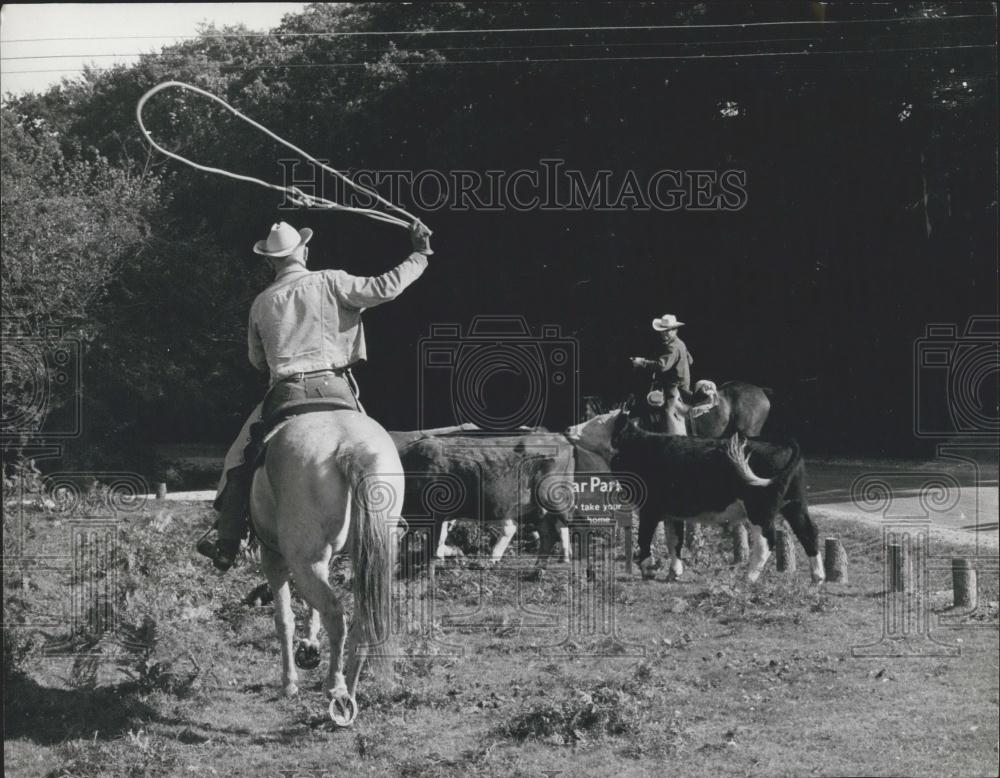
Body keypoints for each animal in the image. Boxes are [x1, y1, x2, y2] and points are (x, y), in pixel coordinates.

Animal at [249, 410, 402, 724]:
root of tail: (351, 446)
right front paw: (309, 645)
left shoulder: (274, 558)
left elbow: (284, 620)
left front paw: (289, 683)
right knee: (360, 619)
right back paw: (349, 693)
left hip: (303, 563)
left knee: (335, 615)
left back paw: (335, 686)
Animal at [568, 410, 824, 580]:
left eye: (597, 421)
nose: (569, 428)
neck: (642, 447)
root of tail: (782, 444)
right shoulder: (671, 512)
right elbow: (674, 540)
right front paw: (674, 572)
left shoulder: (650, 509)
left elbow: (645, 538)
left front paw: (648, 569)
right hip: (795, 505)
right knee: (808, 533)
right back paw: (818, 577)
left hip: (760, 510)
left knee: (765, 541)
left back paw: (749, 577)